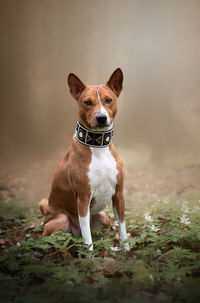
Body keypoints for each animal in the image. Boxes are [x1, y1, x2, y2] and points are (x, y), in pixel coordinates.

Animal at [38, 68, 130, 252]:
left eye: (108, 100)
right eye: (87, 102)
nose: (101, 117)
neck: (98, 148)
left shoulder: (118, 194)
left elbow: (122, 227)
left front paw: (127, 250)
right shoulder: (83, 198)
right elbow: (88, 239)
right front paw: (90, 257)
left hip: (103, 218)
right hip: (61, 220)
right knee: (54, 239)